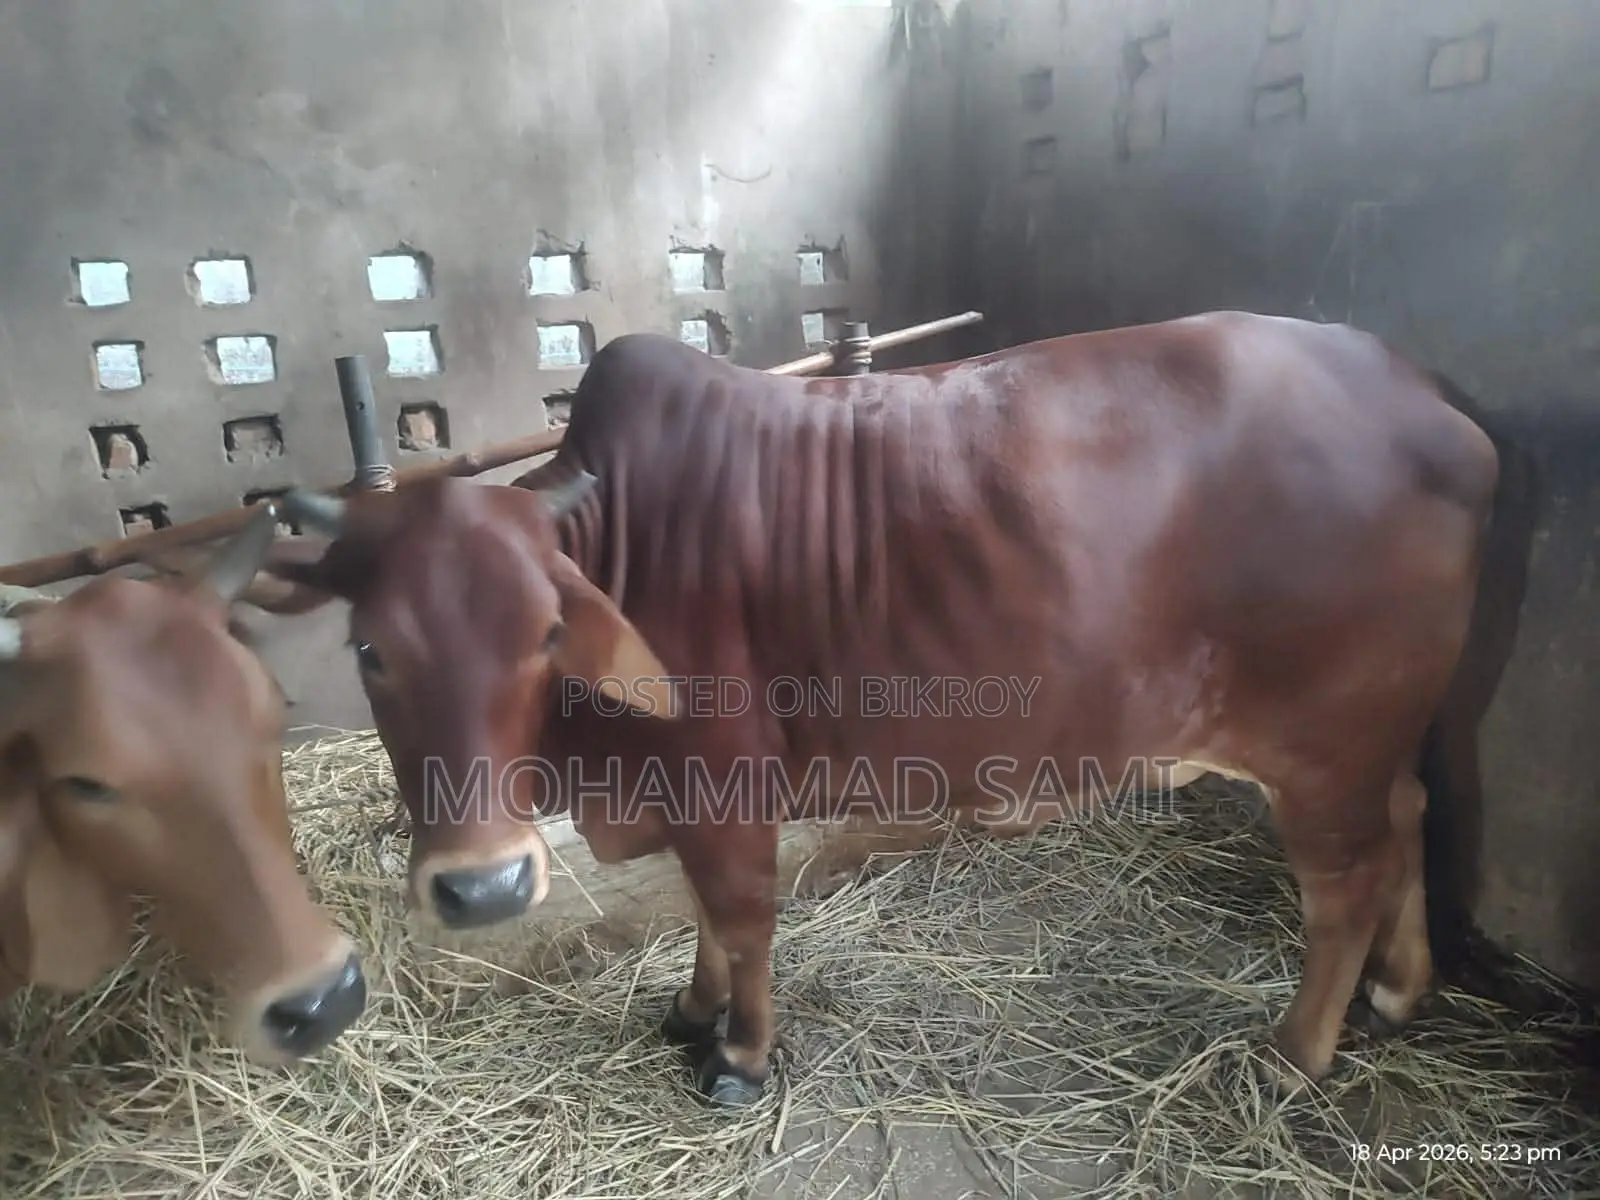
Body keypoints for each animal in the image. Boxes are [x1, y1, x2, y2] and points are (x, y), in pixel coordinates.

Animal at [257, 310, 1503, 1107]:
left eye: (546, 635)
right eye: (370, 649)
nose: (482, 887)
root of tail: (1434, 402)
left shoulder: (724, 784)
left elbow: (742, 919)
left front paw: (740, 1057)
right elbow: (704, 917)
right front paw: (691, 1010)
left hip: (1324, 745)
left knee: (1343, 885)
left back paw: (1295, 1053)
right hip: (1371, 743)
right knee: (1411, 820)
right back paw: (1399, 989)